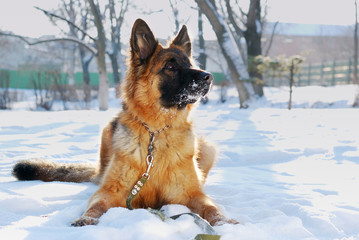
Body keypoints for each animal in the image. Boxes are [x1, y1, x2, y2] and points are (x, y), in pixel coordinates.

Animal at [11, 19, 236, 227]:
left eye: (190, 64)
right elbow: (96, 206)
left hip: (207, 148)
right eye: (170, 66)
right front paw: (85, 219)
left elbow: (211, 208)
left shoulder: (191, 194)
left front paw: (225, 222)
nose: (209, 77)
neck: (156, 132)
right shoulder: (111, 192)